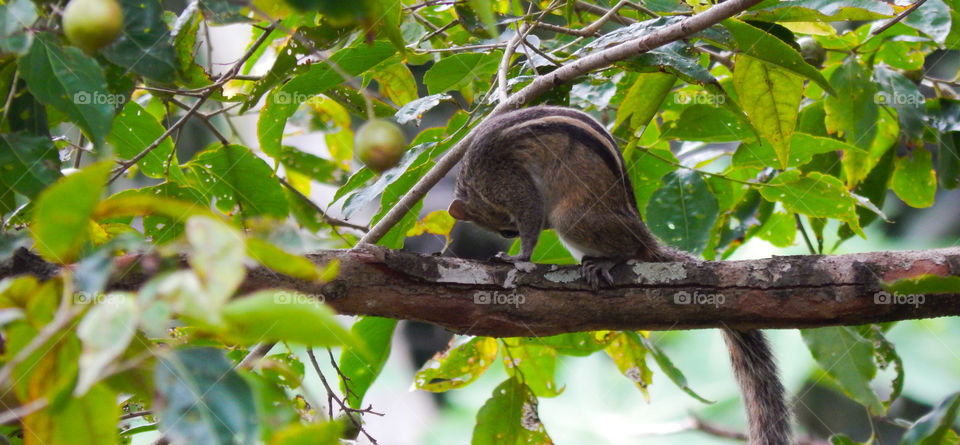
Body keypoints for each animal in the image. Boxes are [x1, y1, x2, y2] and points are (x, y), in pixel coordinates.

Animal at [448, 105, 792, 445]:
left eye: (504, 228)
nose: (509, 234)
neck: (473, 177)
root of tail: (645, 236)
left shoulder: (509, 183)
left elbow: (531, 214)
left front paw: (519, 256)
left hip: (573, 218)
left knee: (626, 247)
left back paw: (607, 261)